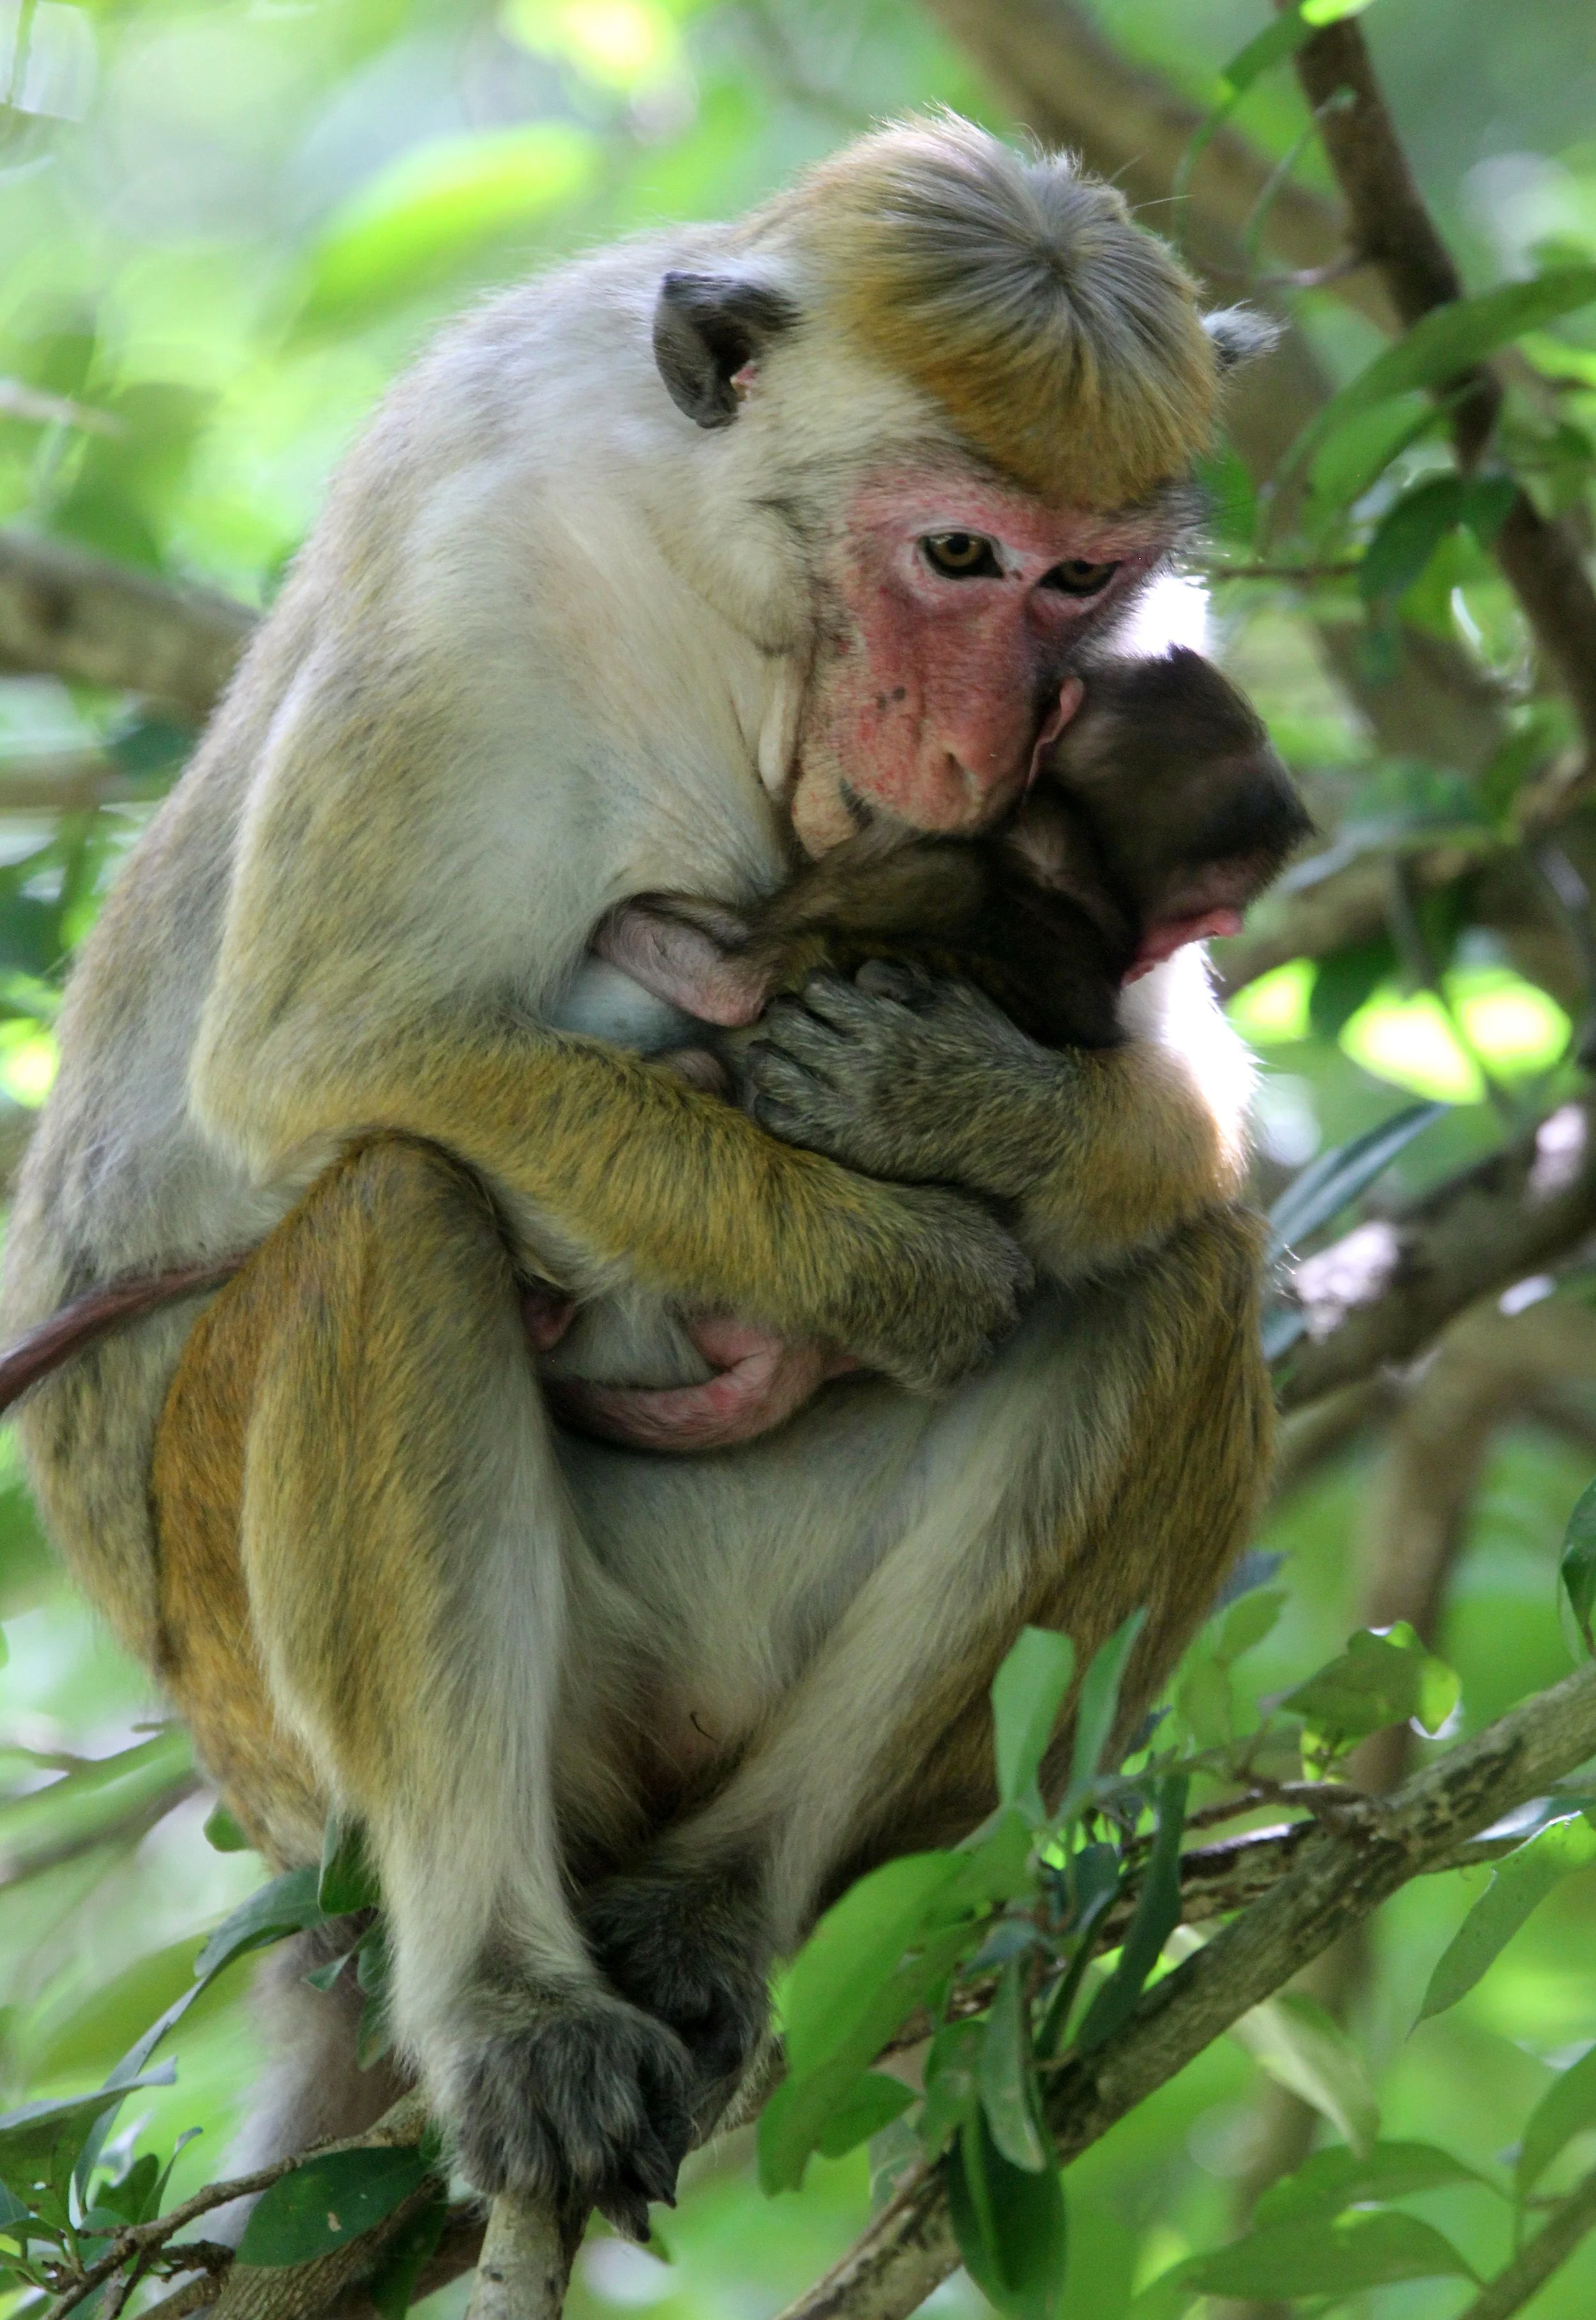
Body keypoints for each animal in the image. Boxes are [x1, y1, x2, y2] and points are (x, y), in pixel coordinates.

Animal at [1, 119, 1282, 2241]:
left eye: (1077, 577)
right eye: (953, 556)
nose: (977, 734)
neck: (719, 573)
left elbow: (1187, 1118)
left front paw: (952, 1107)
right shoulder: (477, 591)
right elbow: (323, 1056)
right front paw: (901, 1264)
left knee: (1177, 1264)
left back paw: (718, 1899)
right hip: (305, 1742)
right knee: (394, 1207)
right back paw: (504, 1993)